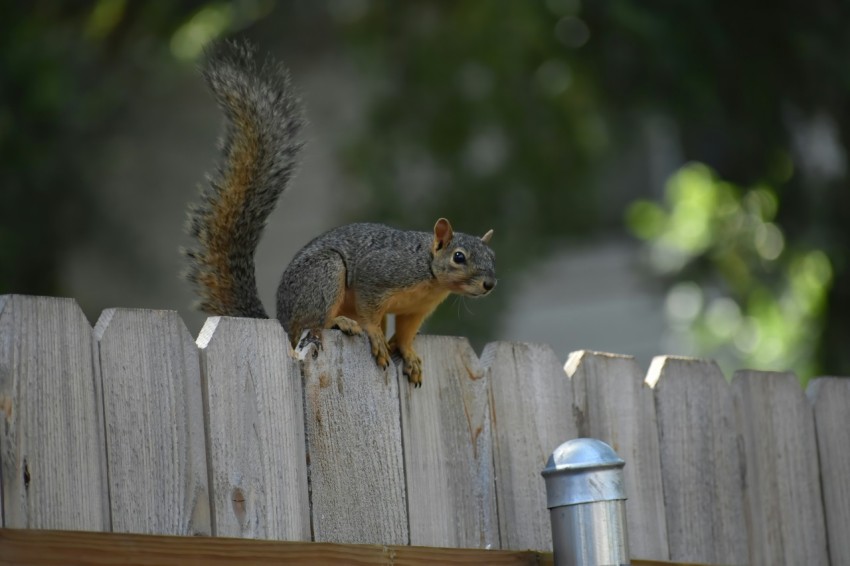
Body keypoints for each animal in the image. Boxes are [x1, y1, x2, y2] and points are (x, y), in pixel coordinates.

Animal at [182, 38, 494, 386]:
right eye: (459, 257)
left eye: (493, 257)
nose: (489, 284)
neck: (429, 275)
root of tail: (280, 319)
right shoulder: (378, 276)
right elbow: (371, 314)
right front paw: (377, 339)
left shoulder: (414, 311)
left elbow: (405, 333)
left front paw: (408, 354)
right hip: (325, 275)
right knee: (311, 322)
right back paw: (338, 323)